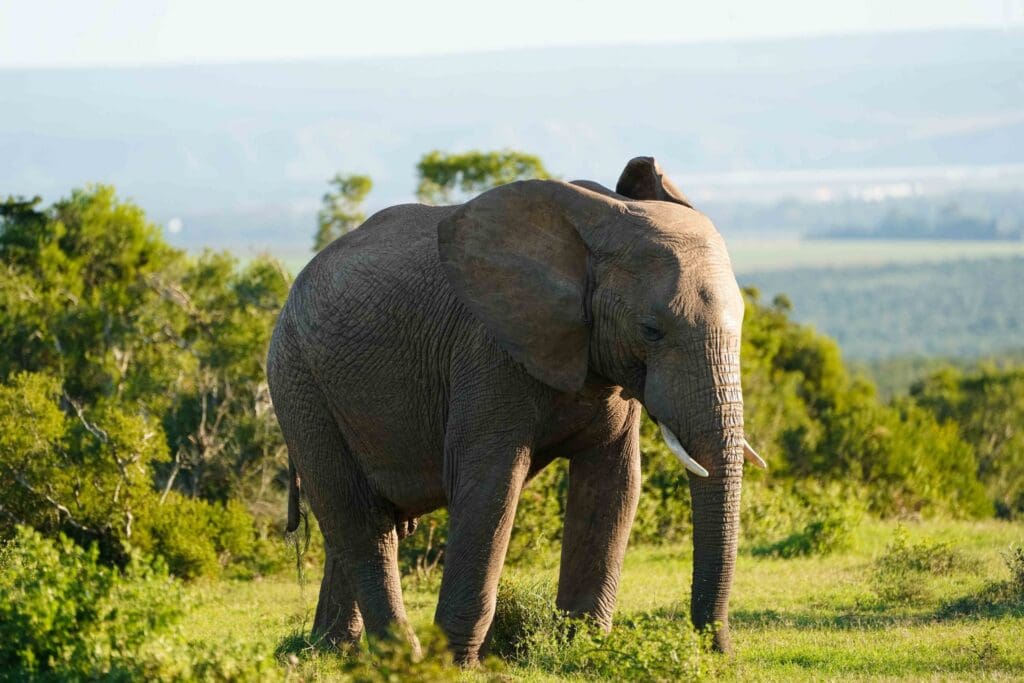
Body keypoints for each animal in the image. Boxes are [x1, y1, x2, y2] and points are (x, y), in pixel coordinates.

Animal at [266, 156, 765, 665]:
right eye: (650, 330)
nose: (717, 650)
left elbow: (614, 484)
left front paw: (583, 651)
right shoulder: (487, 353)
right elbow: (491, 487)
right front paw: (456, 664)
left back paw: (330, 650)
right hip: (299, 381)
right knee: (359, 520)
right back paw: (399, 657)